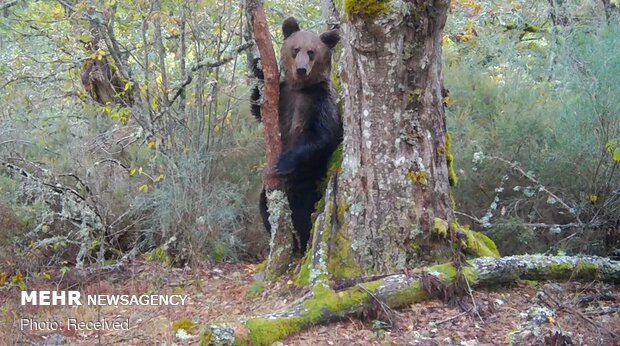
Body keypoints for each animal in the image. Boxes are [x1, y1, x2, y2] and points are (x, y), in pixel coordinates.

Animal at [256, 17, 344, 254]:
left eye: (311, 52)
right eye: (295, 50)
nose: (302, 69)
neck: (301, 89)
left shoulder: (320, 102)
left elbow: (322, 137)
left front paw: (284, 162)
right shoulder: (283, 97)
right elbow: (258, 109)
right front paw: (257, 69)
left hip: (310, 182)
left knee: (306, 214)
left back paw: (301, 245)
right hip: (272, 192)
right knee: (264, 206)